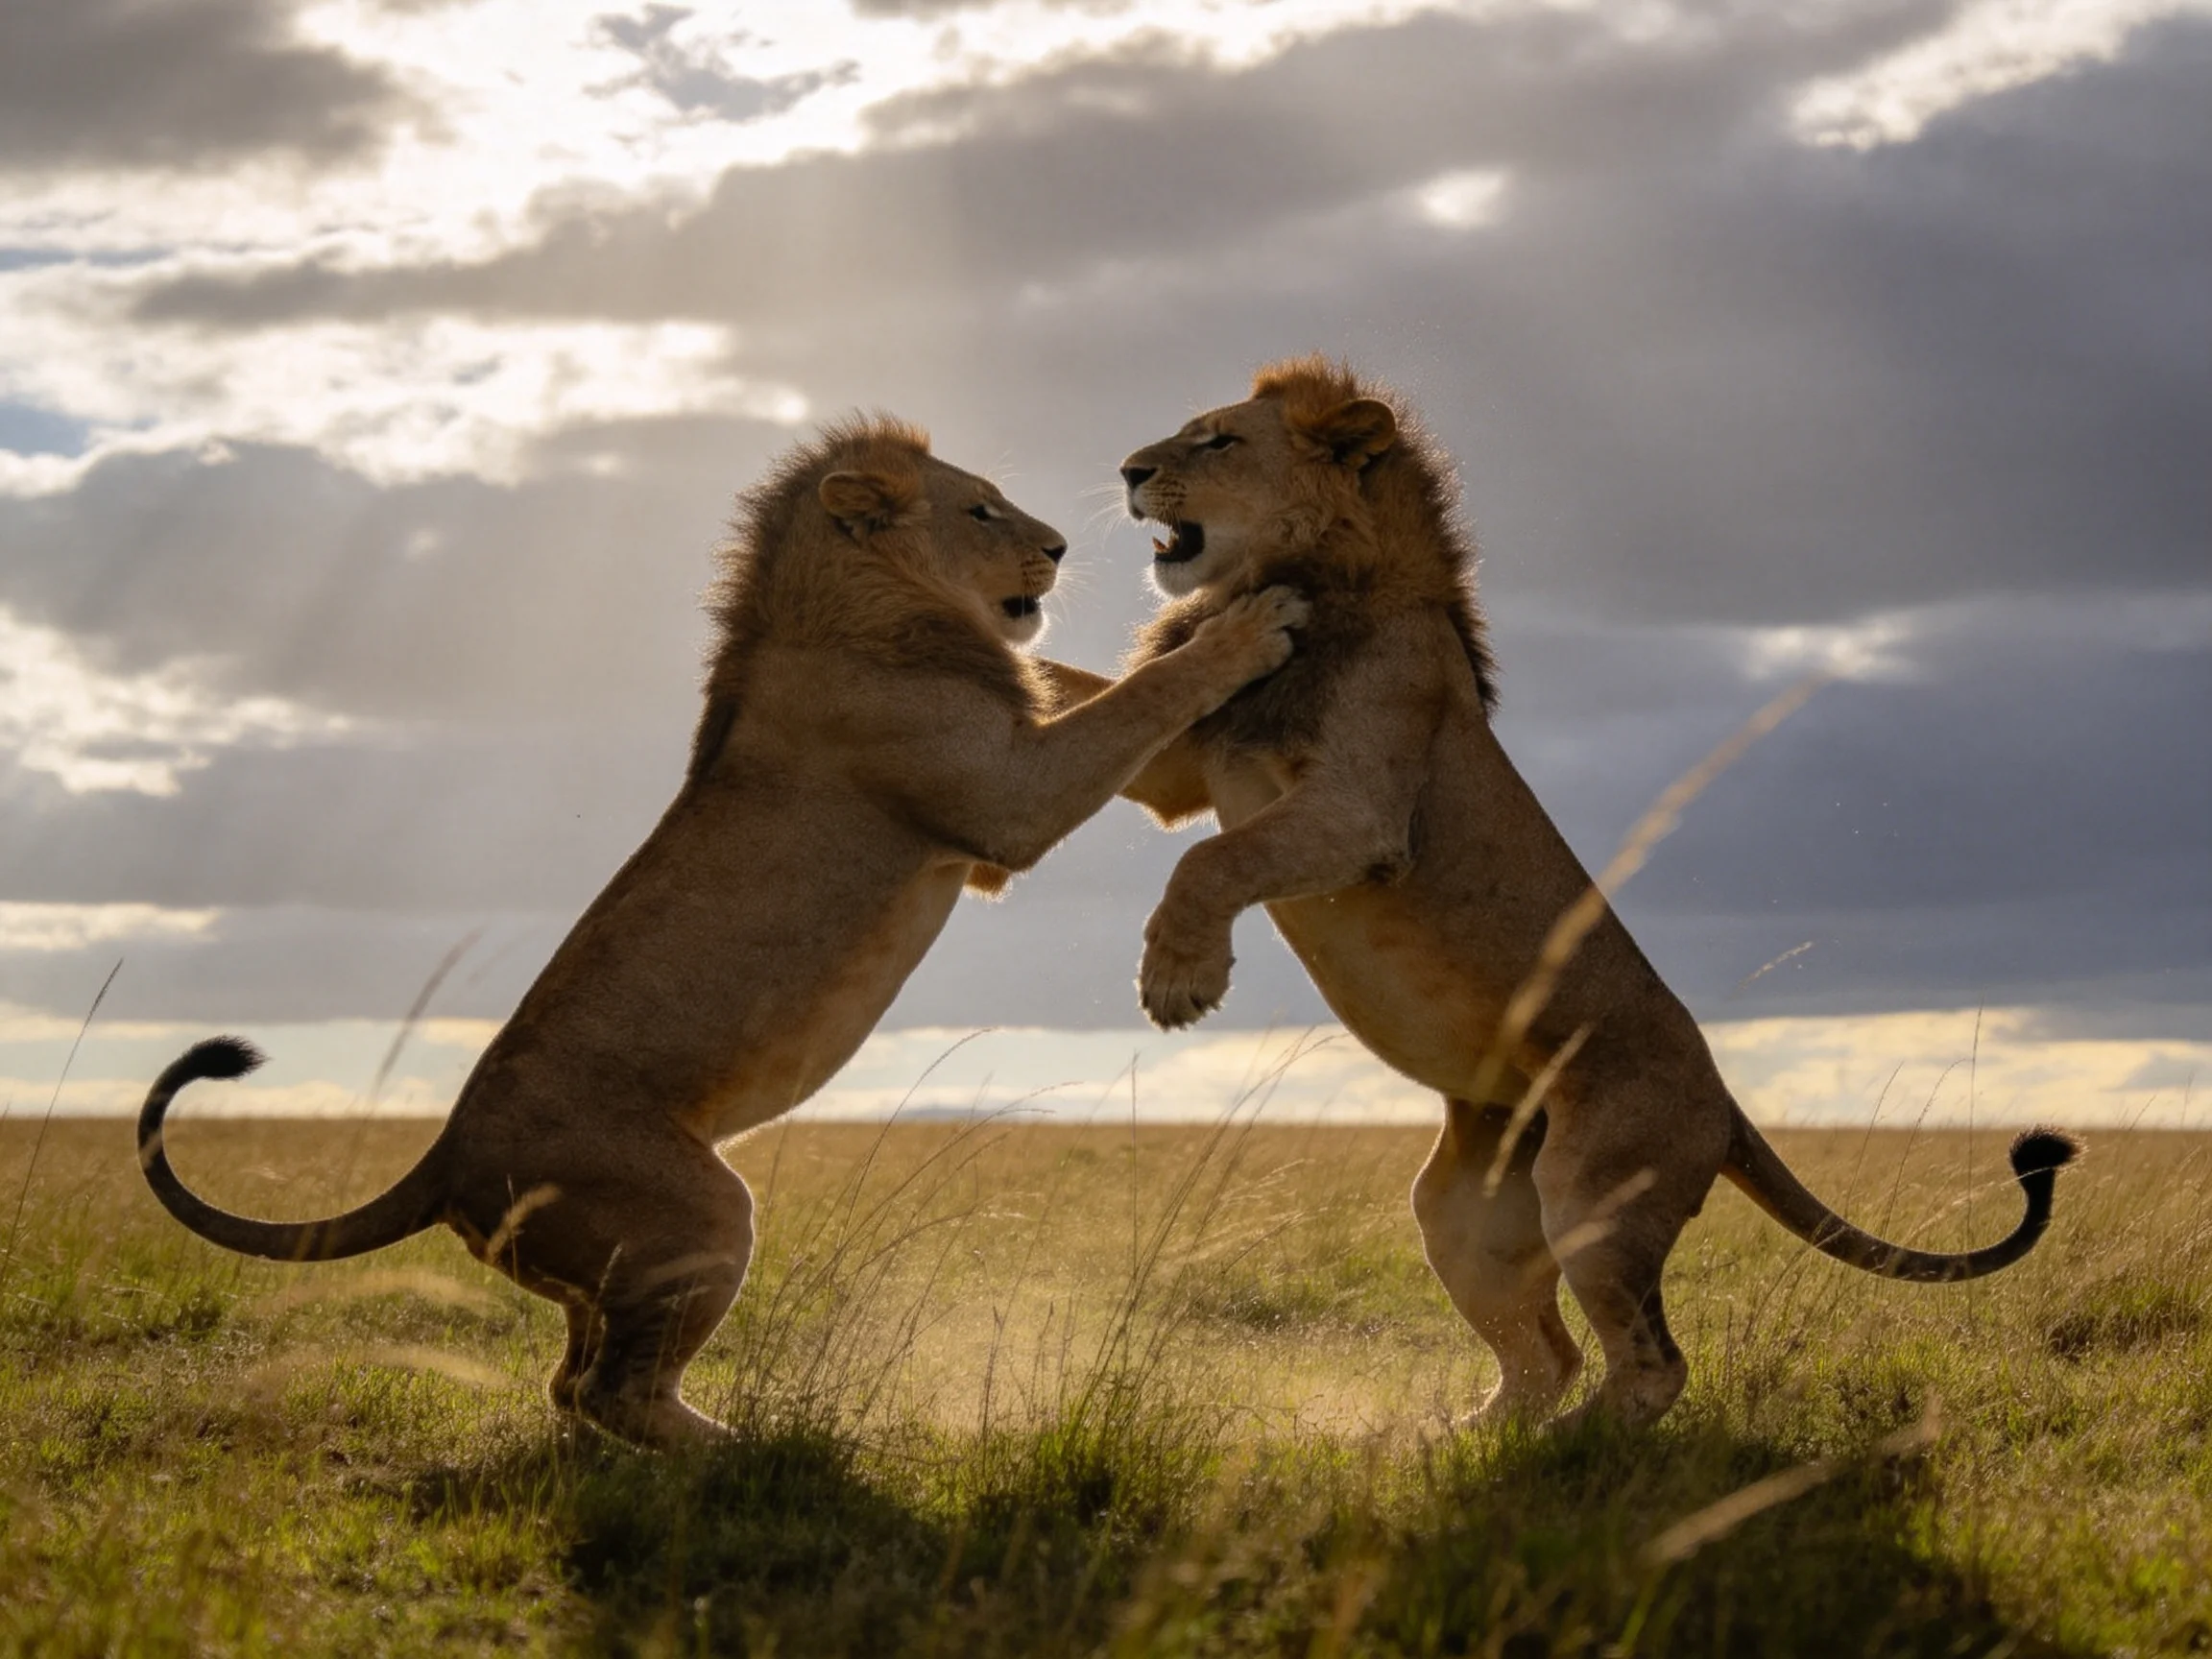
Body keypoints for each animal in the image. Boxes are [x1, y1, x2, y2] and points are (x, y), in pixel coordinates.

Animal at [137, 414, 1308, 1448]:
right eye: (980, 508)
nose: (1060, 546)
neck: (862, 608)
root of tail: (445, 1153)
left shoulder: (992, 813)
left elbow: (1098, 693)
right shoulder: (1006, 804)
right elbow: (1136, 700)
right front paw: (1249, 628)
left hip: (613, 1261)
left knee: (574, 1381)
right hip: (701, 1212)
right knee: (609, 1388)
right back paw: (761, 1453)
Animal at [1092, 357, 2077, 1427]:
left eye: (1219, 441)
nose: (1128, 469)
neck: (1318, 575)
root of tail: (1725, 1102)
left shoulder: (1362, 814)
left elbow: (1207, 862)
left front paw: (1179, 979)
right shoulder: (1175, 775)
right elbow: (1103, 716)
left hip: (1595, 1191)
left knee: (1651, 1365)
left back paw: (1568, 1446)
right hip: (1466, 1209)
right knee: (1548, 1358)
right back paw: (1462, 1439)